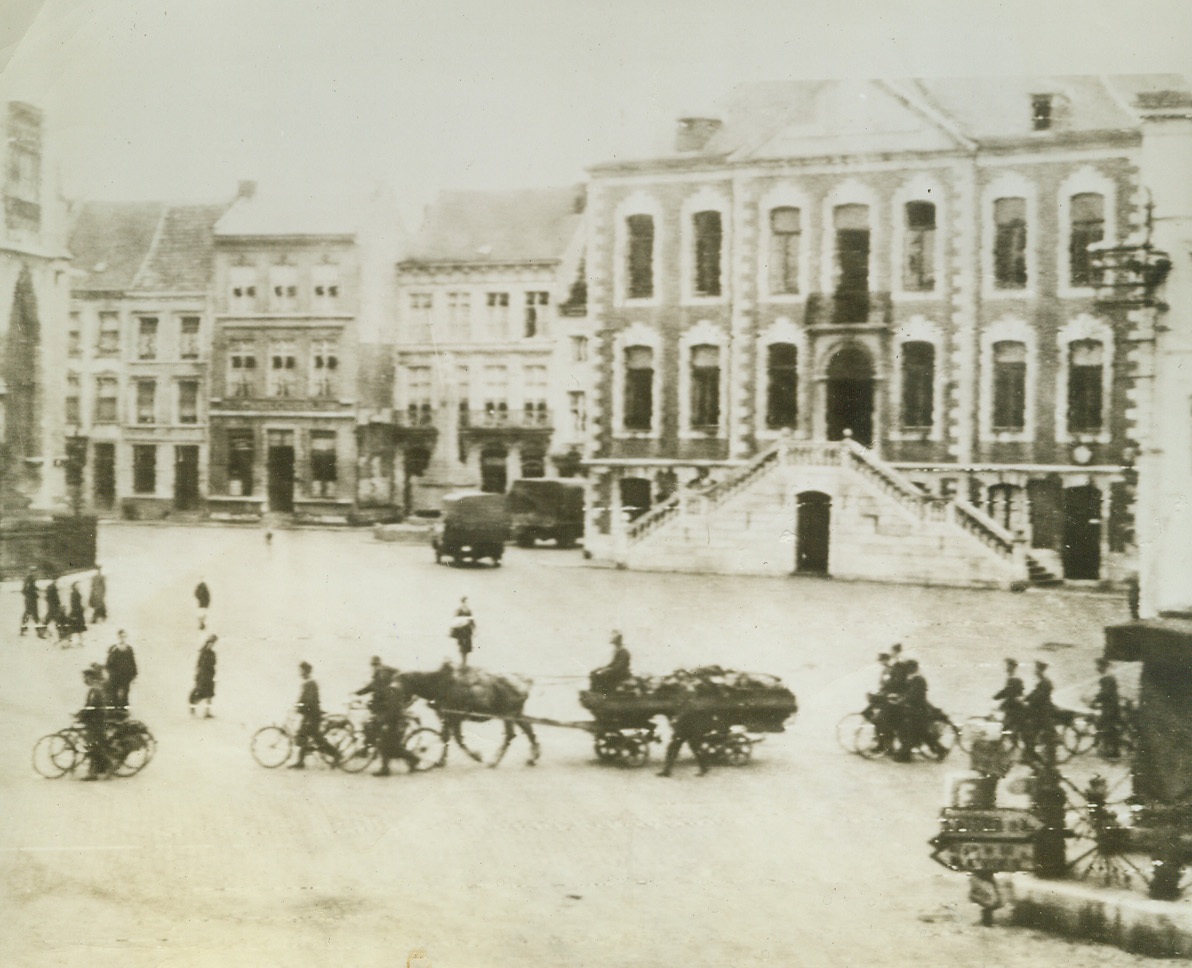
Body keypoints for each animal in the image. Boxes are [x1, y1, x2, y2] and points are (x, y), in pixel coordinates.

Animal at [395, 662, 541, 767]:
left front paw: (476, 756)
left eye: (397, 686)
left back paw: (494, 761)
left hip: (508, 714)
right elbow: (448, 737)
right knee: (529, 730)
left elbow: (454, 739)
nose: (401, 706)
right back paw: (533, 757)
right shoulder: (450, 718)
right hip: (516, 713)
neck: (439, 683)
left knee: (510, 735)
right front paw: (441, 759)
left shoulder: (454, 717)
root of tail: (524, 684)